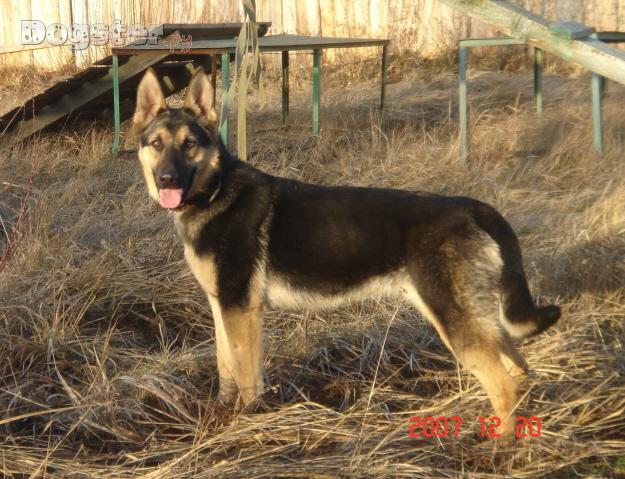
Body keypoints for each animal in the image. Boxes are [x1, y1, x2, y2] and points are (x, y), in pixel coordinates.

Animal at [132, 68, 560, 438]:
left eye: (189, 145)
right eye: (157, 145)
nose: (168, 180)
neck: (216, 190)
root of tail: (474, 208)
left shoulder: (242, 311)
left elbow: (247, 374)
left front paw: (248, 421)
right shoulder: (223, 306)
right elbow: (226, 367)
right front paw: (224, 411)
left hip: (456, 322)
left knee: (503, 384)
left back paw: (496, 448)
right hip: (478, 319)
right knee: (519, 369)